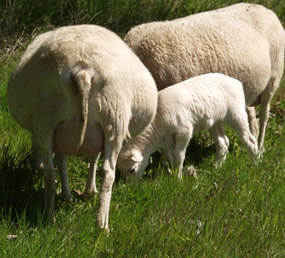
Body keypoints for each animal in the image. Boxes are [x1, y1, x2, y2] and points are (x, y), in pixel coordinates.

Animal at [7, 24, 158, 230]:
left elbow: (63, 161)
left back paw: (50, 218)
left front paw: (69, 195)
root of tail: (83, 70)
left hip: (47, 120)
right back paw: (102, 224)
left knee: (50, 172)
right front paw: (87, 191)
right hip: (114, 121)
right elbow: (92, 158)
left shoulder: (60, 135)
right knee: (108, 173)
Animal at [116, 72, 258, 181]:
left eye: (132, 170)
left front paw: (177, 178)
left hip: (236, 113)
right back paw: (217, 166)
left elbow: (178, 156)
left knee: (250, 140)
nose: (132, 186)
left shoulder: (184, 132)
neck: (156, 124)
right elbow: (169, 158)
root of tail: (237, 82)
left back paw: (256, 162)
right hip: (215, 120)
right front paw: (172, 172)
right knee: (223, 143)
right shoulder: (165, 141)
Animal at [125, 2, 284, 151]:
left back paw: (261, 147)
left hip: (273, 77)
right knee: (251, 114)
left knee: (264, 115)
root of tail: (266, 10)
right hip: (248, 89)